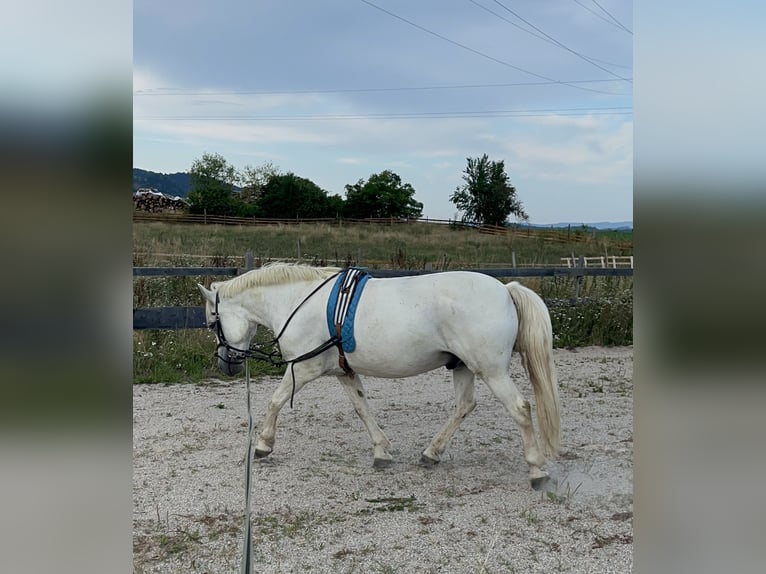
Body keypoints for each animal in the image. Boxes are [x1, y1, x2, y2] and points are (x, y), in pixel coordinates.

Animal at [198, 262, 560, 489]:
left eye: (213, 321)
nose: (226, 364)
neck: (296, 302)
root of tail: (505, 289)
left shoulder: (303, 368)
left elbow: (274, 401)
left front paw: (262, 445)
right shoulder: (343, 372)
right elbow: (362, 408)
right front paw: (382, 452)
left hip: (491, 370)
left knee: (519, 408)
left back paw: (536, 469)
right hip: (462, 366)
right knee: (464, 406)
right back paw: (431, 454)